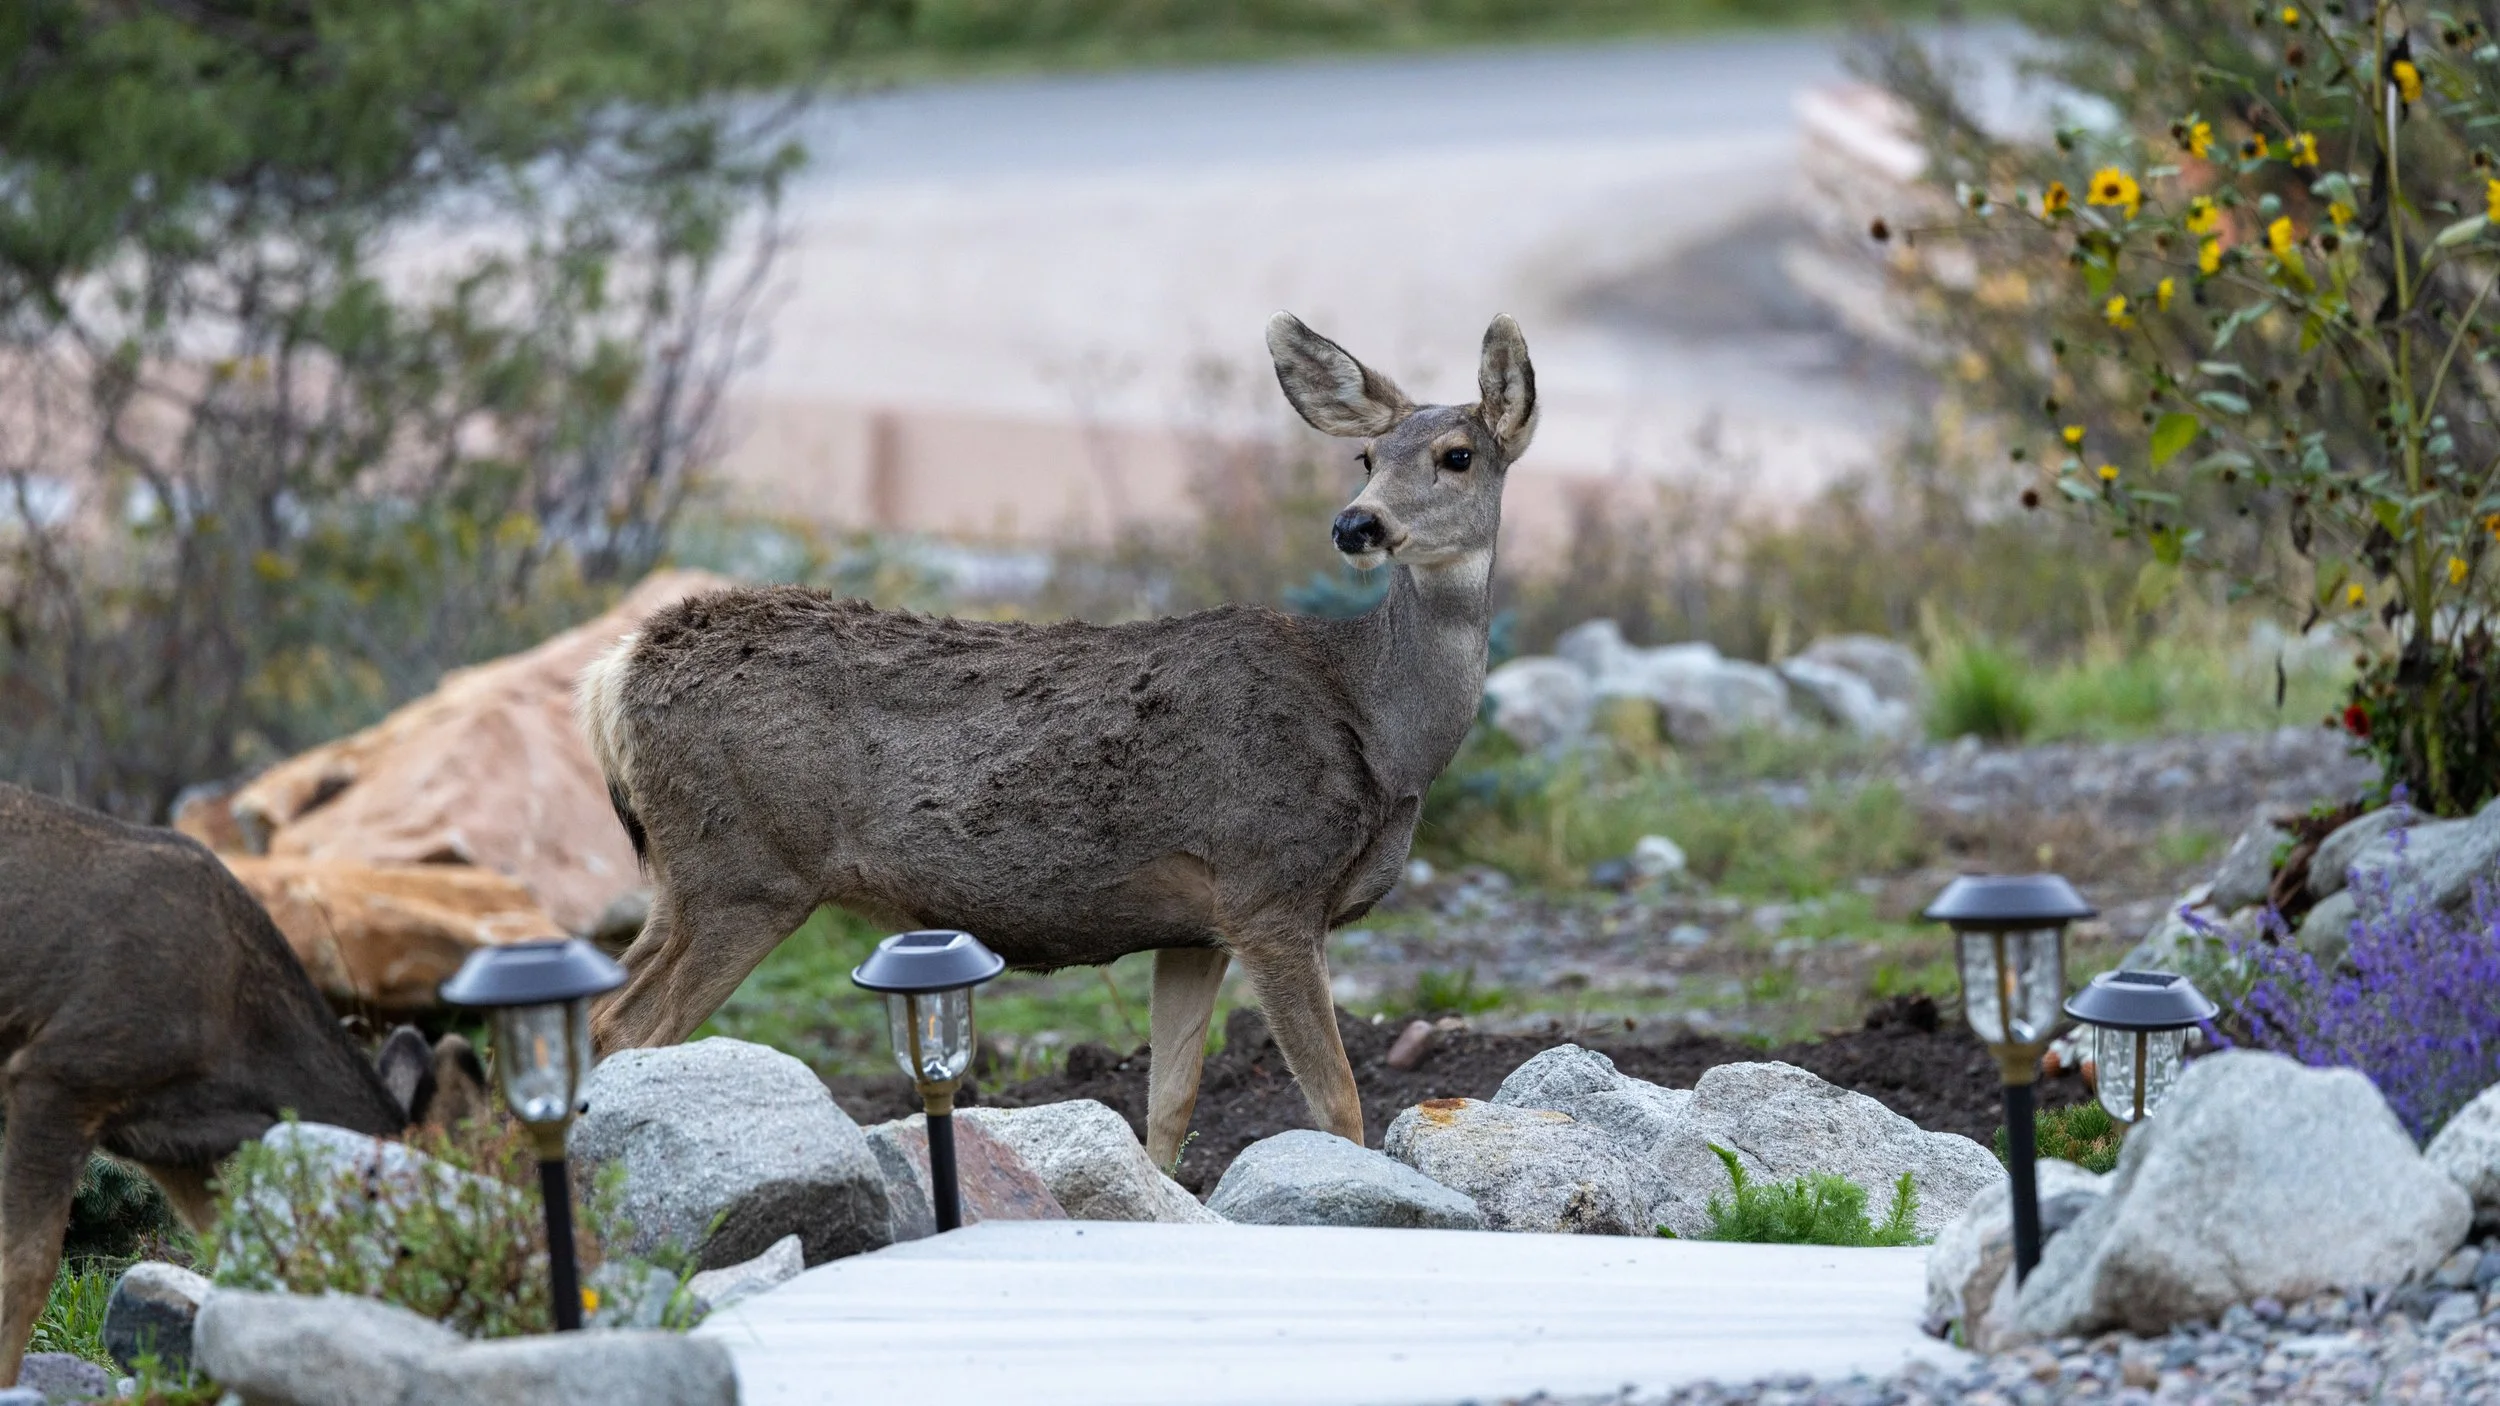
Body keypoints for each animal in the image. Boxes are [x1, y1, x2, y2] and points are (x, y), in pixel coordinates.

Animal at [581, 312, 1537, 1168]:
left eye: (1457, 455)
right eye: (1366, 459)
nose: (1355, 525)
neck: (1380, 730)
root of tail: (613, 673)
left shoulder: (1199, 926)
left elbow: (1170, 1104)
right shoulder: (1270, 885)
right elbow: (1339, 1102)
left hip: (682, 876)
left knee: (599, 1010)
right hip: (749, 871)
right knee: (628, 1027)